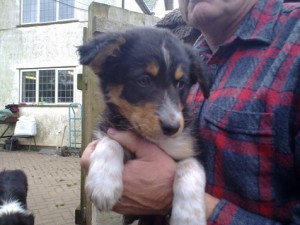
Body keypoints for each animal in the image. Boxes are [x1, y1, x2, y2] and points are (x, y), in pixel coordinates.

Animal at [78, 26, 210, 225]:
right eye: (144, 80)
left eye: (181, 84)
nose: (172, 127)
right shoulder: (108, 129)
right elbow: (110, 142)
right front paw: (103, 184)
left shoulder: (191, 150)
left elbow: (189, 168)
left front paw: (188, 217)